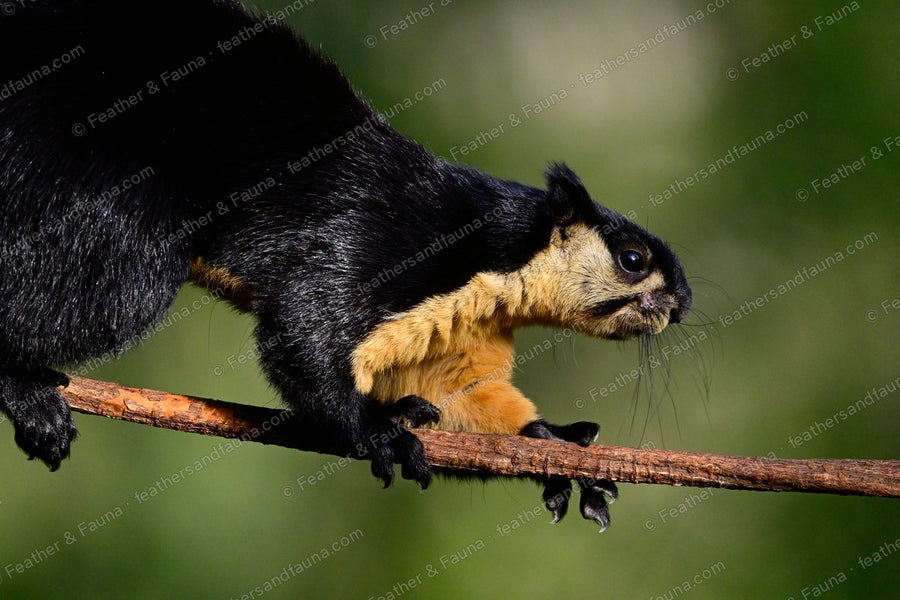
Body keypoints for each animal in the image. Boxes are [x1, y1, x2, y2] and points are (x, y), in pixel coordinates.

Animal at [0, 0, 691, 529]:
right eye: (633, 258)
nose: (683, 305)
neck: (490, 251)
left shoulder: (451, 337)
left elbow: (460, 396)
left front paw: (553, 444)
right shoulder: (379, 250)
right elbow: (303, 334)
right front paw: (379, 430)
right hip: (109, 230)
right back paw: (31, 399)